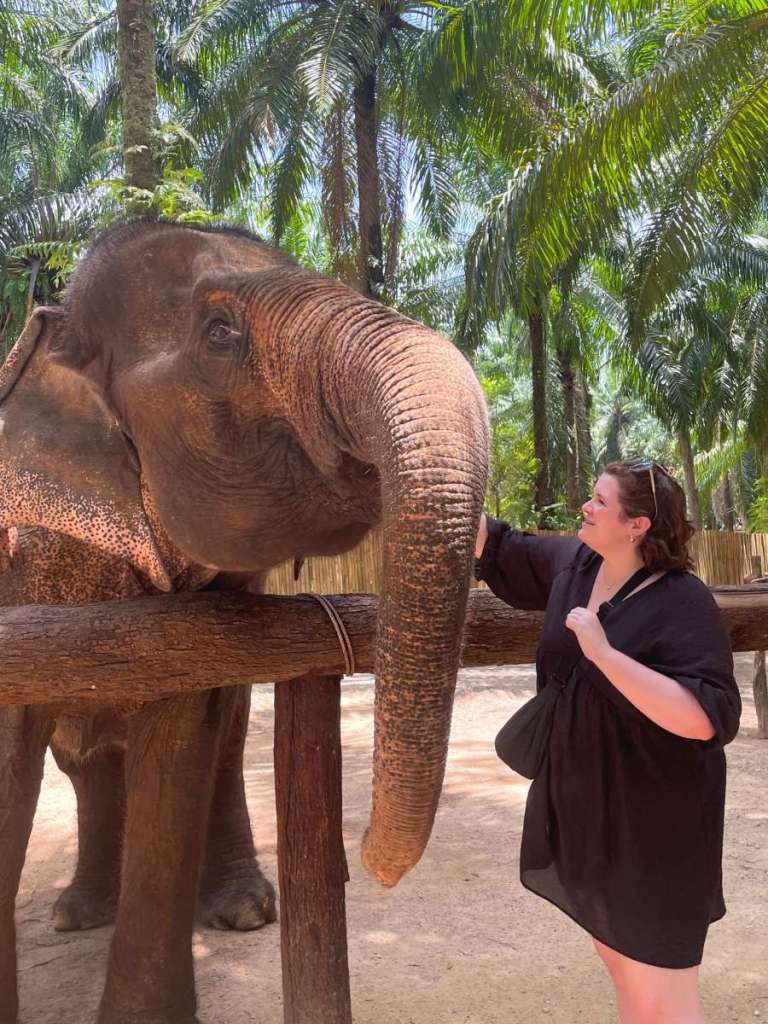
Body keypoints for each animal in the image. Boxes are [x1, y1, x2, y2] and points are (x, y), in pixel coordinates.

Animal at [0, 219, 489, 1023]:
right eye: (221, 332)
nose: (363, 860)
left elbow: (179, 743)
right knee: (87, 759)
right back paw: (78, 915)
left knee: (216, 735)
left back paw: (241, 912)